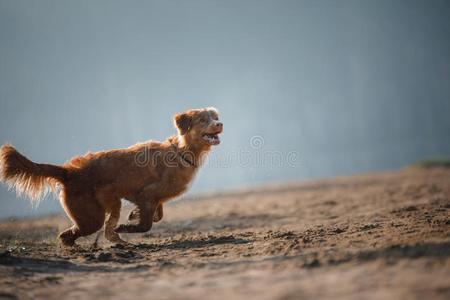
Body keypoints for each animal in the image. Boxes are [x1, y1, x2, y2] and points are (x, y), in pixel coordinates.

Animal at [0, 108, 221, 246]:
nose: (220, 124)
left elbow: (157, 216)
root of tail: (69, 172)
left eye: (214, 116)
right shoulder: (146, 194)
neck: (182, 152)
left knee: (87, 233)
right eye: (203, 119)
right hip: (93, 215)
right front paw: (128, 224)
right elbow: (147, 224)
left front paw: (133, 215)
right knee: (76, 233)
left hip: (107, 206)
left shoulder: (151, 199)